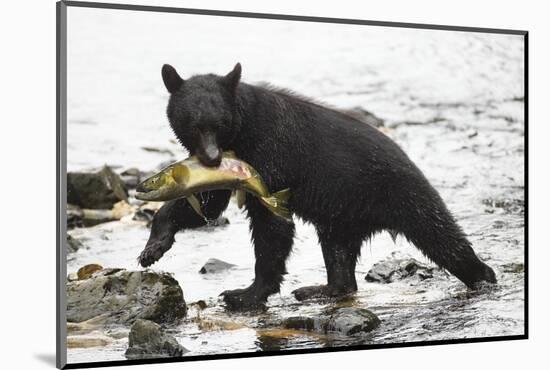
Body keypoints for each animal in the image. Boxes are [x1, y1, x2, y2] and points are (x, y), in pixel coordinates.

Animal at [137, 62, 496, 310]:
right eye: (193, 125)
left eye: (220, 124)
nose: (211, 158)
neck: (243, 133)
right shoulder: (233, 167)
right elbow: (208, 203)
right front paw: (152, 249)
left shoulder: (270, 156)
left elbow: (271, 225)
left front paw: (245, 294)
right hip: (342, 216)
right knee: (339, 252)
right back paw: (322, 288)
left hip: (403, 194)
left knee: (442, 236)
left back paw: (483, 277)